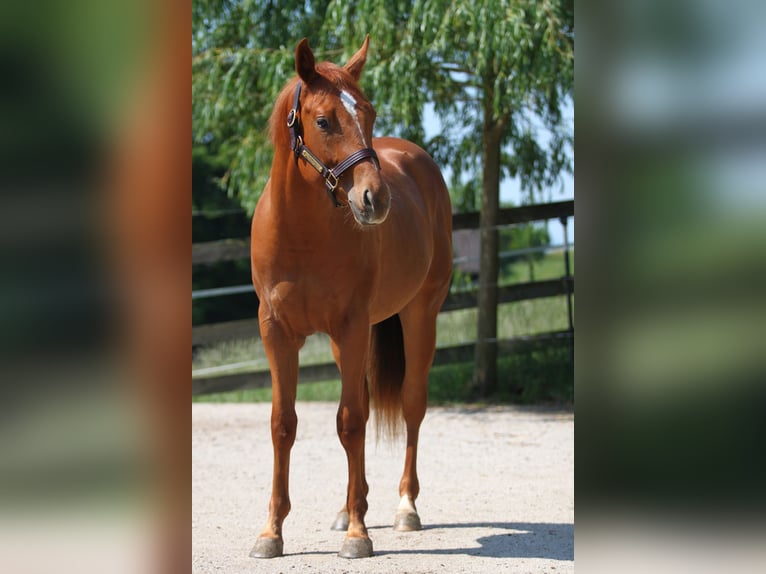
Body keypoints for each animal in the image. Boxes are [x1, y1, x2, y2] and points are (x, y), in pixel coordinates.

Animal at [249, 36, 453, 559]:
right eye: (323, 121)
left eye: (369, 113)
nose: (374, 200)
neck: (301, 234)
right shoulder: (276, 332)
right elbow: (283, 424)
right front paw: (271, 532)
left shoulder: (352, 325)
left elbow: (352, 422)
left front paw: (358, 536)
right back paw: (346, 506)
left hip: (420, 315)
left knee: (411, 404)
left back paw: (405, 508)